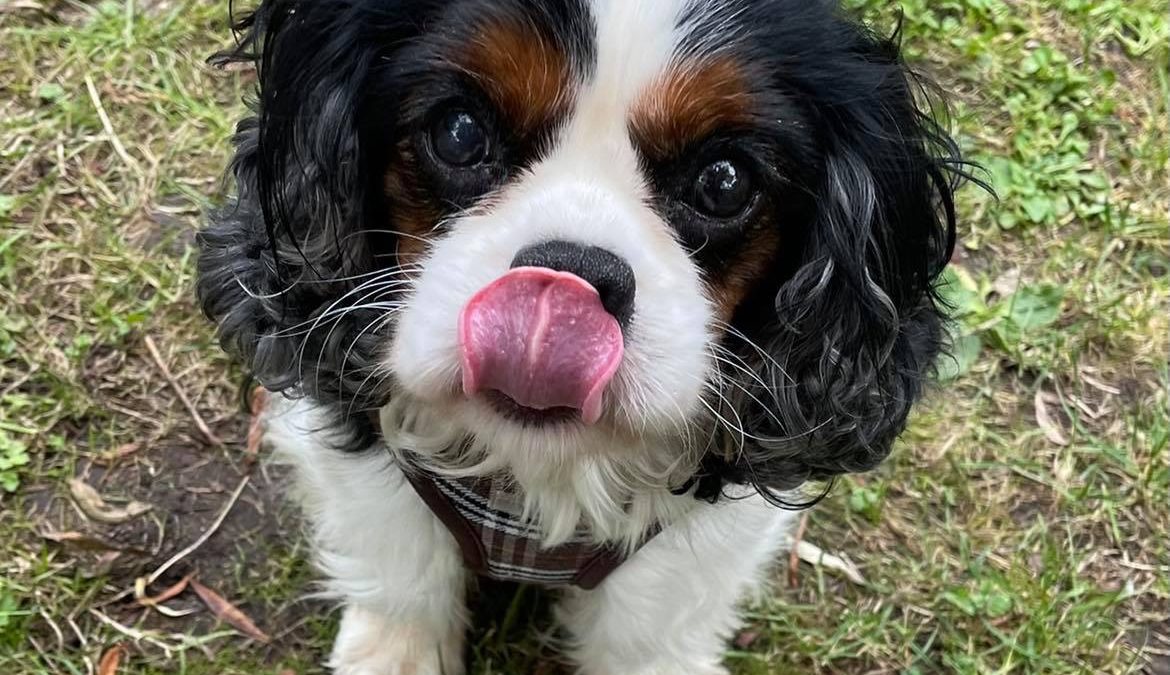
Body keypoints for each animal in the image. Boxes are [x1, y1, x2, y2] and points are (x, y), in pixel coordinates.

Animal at [198, 1, 959, 673]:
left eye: (724, 181)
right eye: (459, 132)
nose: (568, 277)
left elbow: (649, 630)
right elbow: (401, 564)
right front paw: (394, 654)